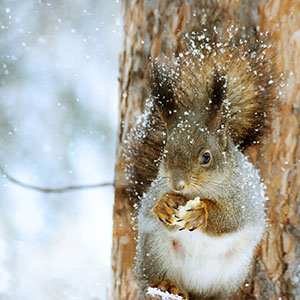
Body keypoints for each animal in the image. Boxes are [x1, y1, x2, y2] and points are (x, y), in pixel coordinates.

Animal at [123, 7, 278, 300]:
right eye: (165, 153)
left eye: (206, 157)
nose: (177, 184)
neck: (201, 190)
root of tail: (193, 288)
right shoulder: (154, 190)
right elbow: (150, 204)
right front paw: (164, 204)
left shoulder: (245, 198)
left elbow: (231, 218)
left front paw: (200, 213)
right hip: (153, 251)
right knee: (151, 278)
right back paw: (167, 285)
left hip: (231, 272)